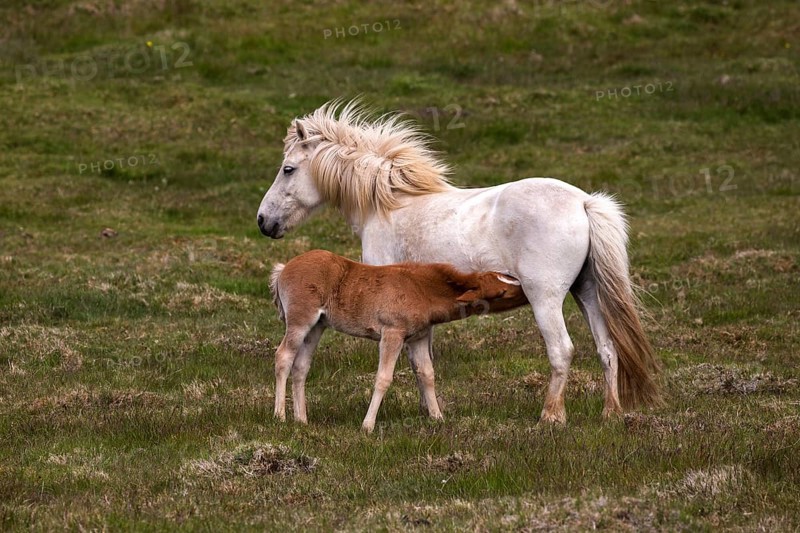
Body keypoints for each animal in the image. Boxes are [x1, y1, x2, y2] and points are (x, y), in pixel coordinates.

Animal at [270, 249, 528, 432]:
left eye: (507, 276)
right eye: (501, 292)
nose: (526, 289)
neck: (422, 290)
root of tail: (282, 270)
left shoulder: (418, 338)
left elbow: (427, 374)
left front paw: (438, 418)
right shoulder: (392, 334)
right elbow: (383, 378)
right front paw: (367, 425)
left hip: (317, 326)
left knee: (301, 366)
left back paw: (302, 419)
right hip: (301, 321)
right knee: (283, 356)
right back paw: (280, 416)